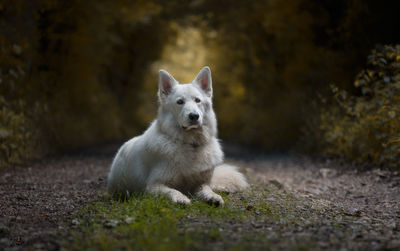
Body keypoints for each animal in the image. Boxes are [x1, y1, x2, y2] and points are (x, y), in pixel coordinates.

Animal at [108, 65, 248, 205]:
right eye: (180, 102)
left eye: (197, 100)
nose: (194, 116)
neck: (191, 144)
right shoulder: (153, 186)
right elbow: (172, 191)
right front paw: (181, 198)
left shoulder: (200, 183)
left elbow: (206, 188)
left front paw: (213, 196)